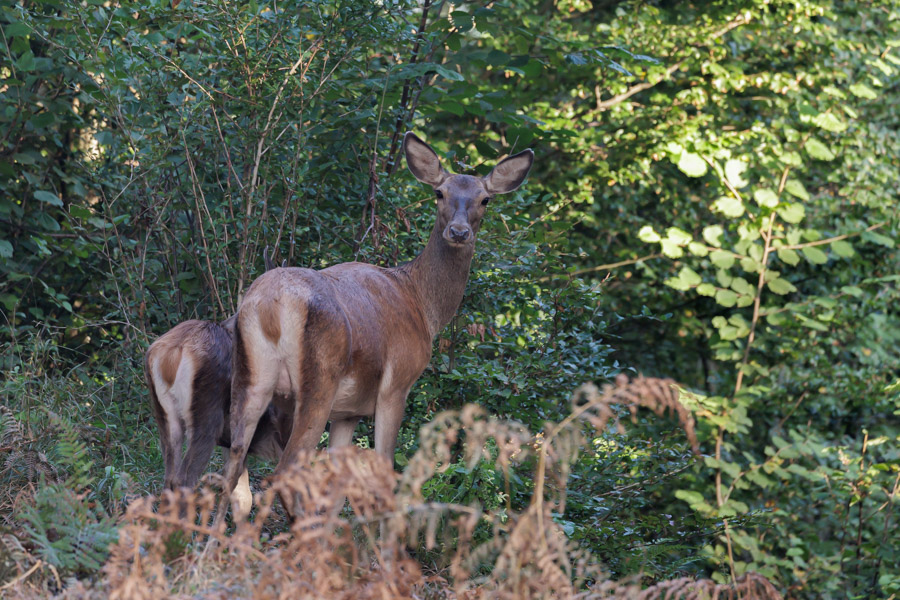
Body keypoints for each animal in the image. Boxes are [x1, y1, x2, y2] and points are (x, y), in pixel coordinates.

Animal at [144, 250, 292, 516]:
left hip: (166, 418)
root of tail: (170, 355)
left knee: (169, 478)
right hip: (207, 414)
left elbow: (241, 495)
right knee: (184, 479)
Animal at [218, 134, 536, 516]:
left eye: (485, 198)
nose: (458, 232)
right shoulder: (396, 385)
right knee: (280, 470)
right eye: (439, 193)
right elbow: (386, 475)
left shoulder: (348, 412)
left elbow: (337, 490)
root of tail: (270, 305)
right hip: (318, 381)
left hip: (251, 379)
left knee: (232, 472)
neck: (421, 302)